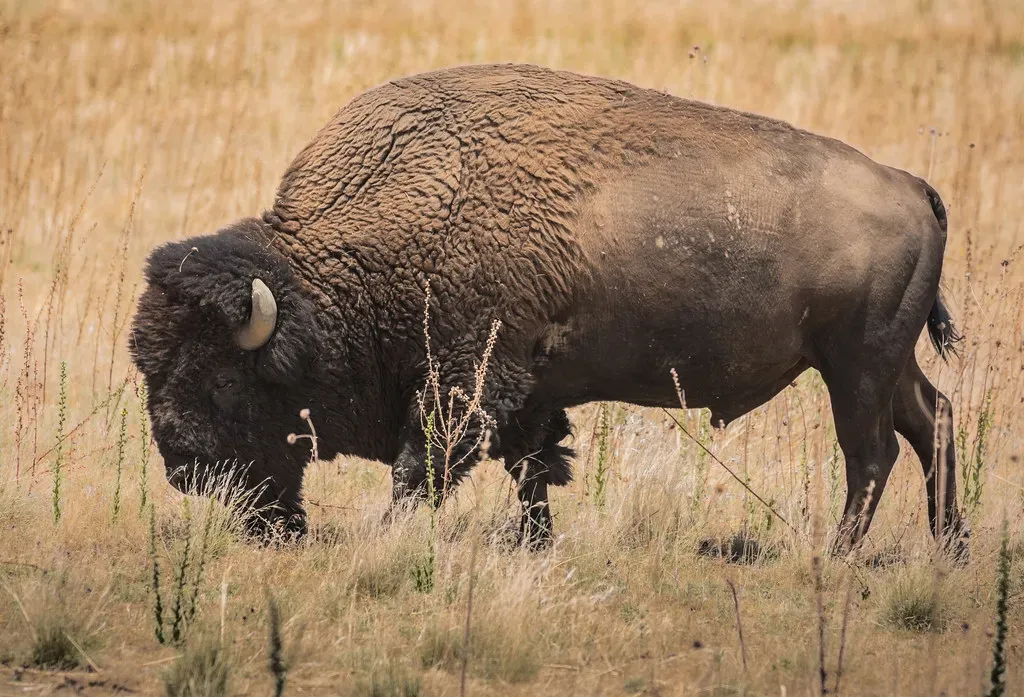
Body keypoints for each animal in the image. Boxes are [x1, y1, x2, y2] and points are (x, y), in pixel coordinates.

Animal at [130, 63, 965, 551]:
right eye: (151, 368)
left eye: (222, 377)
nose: (181, 463)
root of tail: (910, 185)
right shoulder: (528, 389)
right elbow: (532, 469)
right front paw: (534, 544)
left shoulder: (466, 382)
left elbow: (422, 467)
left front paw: (390, 537)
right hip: (885, 363)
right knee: (935, 420)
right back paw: (949, 547)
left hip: (855, 365)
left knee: (873, 453)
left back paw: (842, 555)